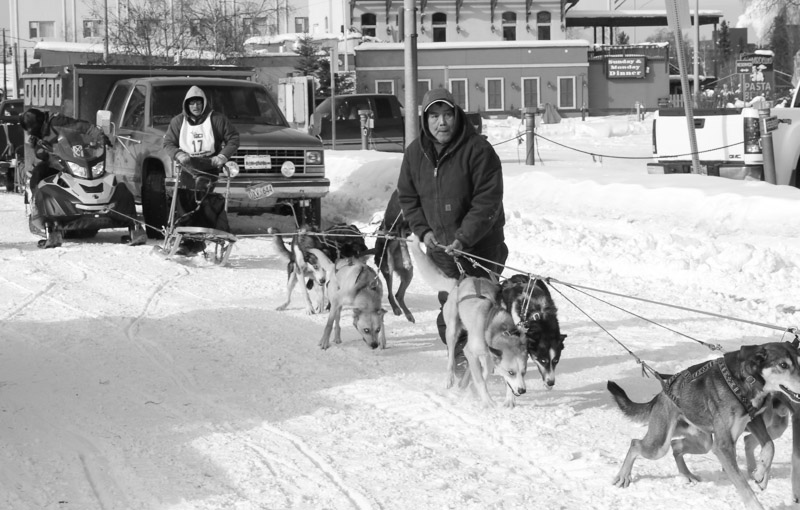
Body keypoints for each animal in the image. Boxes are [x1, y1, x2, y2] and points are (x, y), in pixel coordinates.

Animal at [374, 190, 415, 323]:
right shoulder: (399, 225)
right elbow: (402, 240)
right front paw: (407, 260)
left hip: (408, 275)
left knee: (398, 295)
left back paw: (408, 314)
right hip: (388, 268)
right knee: (390, 294)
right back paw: (396, 309)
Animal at [408, 234, 527, 408]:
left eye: (523, 372)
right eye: (511, 372)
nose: (522, 391)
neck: (497, 327)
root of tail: (459, 283)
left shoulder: (487, 356)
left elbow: (488, 376)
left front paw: (509, 399)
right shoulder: (470, 352)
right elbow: (480, 380)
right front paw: (487, 400)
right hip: (452, 331)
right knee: (451, 357)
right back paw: (450, 378)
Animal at [607, 341, 800, 510]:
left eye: (799, 362)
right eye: (783, 365)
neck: (745, 380)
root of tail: (661, 394)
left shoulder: (754, 420)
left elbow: (769, 445)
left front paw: (761, 474)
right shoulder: (723, 446)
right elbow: (744, 486)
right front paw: (756, 501)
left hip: (703, 442)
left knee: (675, 445)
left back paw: (686, 474)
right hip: (659, 446)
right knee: (636, 444)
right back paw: (623, 476)